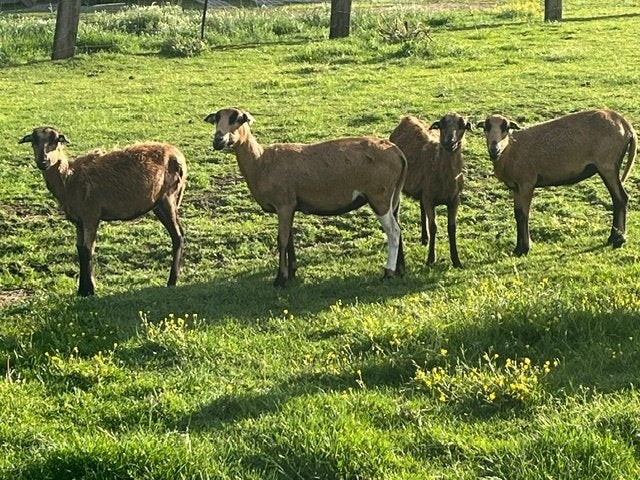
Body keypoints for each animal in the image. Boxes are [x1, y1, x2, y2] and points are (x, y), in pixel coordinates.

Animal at [19, 126, 187, 296]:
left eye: (55, 141)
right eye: (33, 141)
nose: (43, 161)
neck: (69, 180)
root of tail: (177, 154)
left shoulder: (91, 215)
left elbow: (88, 249)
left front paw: (90, 290)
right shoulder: (78, 220)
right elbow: (80, 249)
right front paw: (81, 290)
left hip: (169, 197)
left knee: (178, 235)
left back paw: (172, 281)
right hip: (158, 204)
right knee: (176, 235)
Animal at [204, 107, 407, 287]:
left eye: (238, 119)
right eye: (216, 119)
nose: (218, 140)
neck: (261, 162)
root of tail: (397, 152)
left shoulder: (284, 204)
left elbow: (282, 240)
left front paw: (281, 279)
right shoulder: (290, 206)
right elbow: (290, 238)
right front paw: (292, 272)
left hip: (379, 195)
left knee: (393, 231)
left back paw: (388, 272)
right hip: (393, 196)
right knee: (398, 227)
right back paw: (400, 269)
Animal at [390, 113, 471, 268]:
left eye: (462, 126)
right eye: (441, 125)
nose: (450, 142)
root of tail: (407, 118)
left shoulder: (454, 200)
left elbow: (452, 228)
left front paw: (456, 260)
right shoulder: (429, 198)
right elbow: (433, 227)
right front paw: (431, 259)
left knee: (421, 208)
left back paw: (424, 239)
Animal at [477, 109, 637, 255]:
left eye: (507, 127)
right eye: (486, 127)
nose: (494, 148)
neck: (510, 151)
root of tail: (624, 123)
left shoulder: (527, 183)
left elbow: (524, 214)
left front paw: (525, 248)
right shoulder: (516, 187)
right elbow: (517, 214)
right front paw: (518, 248)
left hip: (608, 165)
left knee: (620, 199)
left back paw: (617, 240)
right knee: (618, 199)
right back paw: (615, 238)